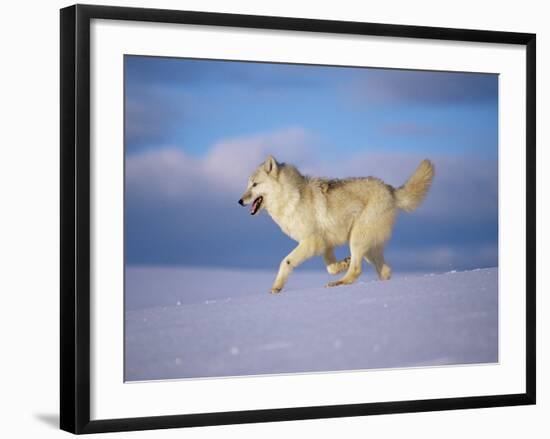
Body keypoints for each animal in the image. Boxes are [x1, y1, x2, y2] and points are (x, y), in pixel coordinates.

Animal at [237, 156, 436, 294]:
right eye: (247, 185)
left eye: (255, 184)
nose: (239, 201)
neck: (291, 197)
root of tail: (390, 189)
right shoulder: (325, 244)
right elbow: (330, 267)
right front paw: (342, 264)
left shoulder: (311, 242)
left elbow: (286, 261)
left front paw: (275, 288)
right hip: (368, 249)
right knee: (385, 271)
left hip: (357, 239)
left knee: (357, 271)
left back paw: (337, 284)